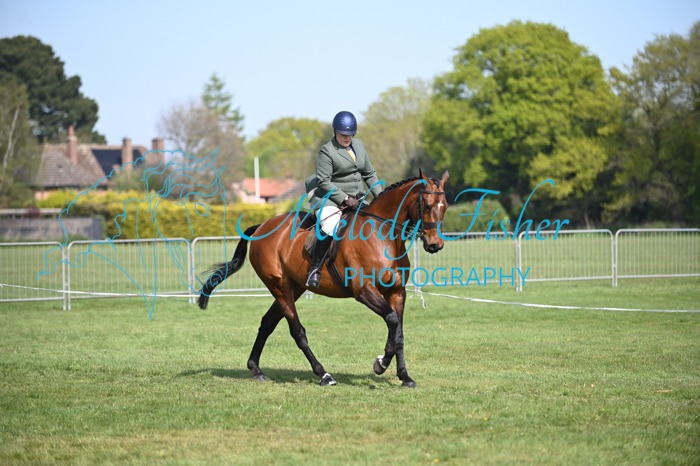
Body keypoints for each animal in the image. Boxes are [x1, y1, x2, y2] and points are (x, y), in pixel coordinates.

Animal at [198, 169, 449, 387]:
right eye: (427, 206)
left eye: (444, 207)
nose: (435, 245)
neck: (382, 235)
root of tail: (263, 227)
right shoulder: (364, 291)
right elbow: (392, 321)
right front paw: (380, 364)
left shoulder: (397, 292)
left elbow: (398, 333)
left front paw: (404, 376)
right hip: (280, 287)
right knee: (297, 332)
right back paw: (324, 374)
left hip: (294, 288)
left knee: (267, 323)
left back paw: (256, 369)